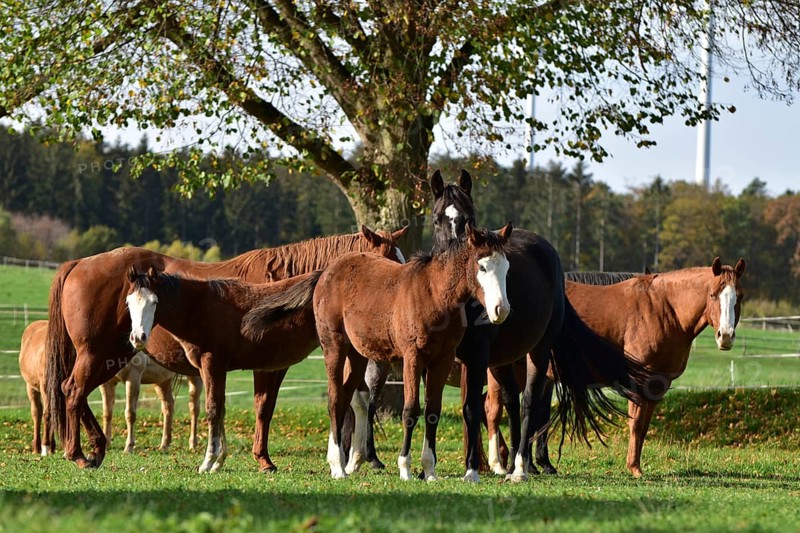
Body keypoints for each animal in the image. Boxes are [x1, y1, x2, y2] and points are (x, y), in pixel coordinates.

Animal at [46, 226, 407, 469]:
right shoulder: (266, 365)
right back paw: (79, 454)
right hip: (99, 353)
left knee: (71, 391)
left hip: (112, 355)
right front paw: (257, 460)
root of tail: (79, 263)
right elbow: (261, 408)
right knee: (73, 390)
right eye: (388, 261)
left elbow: (266, 407)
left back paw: (96, 447)